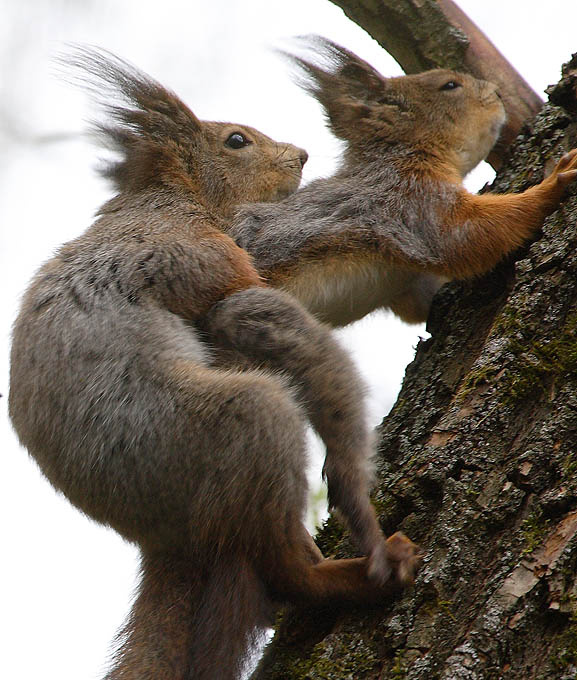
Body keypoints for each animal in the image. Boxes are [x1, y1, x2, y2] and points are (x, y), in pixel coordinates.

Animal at [8, 49, 420, 680]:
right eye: (236, 140)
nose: (301, 154)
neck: (177, 199)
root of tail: (160, 533)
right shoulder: (193, 252)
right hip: (232, 421)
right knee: (284, 577)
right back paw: (354, 571)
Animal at [231, 37, 577, 327]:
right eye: (449, 85)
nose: (498, 93)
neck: (404, 156)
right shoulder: (409, 200)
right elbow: (464, 235)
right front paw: (553, 182)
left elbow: (424, 302)